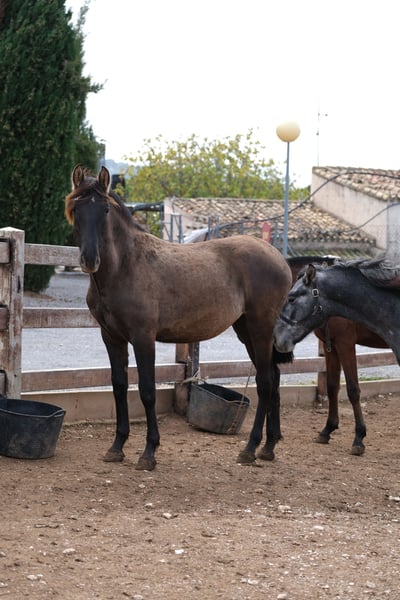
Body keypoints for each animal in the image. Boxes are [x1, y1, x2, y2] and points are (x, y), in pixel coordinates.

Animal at [65, 165, 293, 470]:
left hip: (260, 328)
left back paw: (249, 448)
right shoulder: (111, 337)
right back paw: (268, 447)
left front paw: (149, 452)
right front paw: (116, 447)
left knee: (265, 382)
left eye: (104, 210)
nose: (90, 260)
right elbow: (119, 386)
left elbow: (147, 391)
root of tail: (279, 259)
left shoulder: (143, 337)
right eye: (77, 209)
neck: (126, 266)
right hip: (246, 331)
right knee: (275, 378)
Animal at [274, 258, 400, 451]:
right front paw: (328, 429)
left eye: (291, 298)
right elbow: (332, 386)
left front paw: (359, 437)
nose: (277, 338)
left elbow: (353, 390)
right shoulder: (331, 347)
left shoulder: (345, 344)